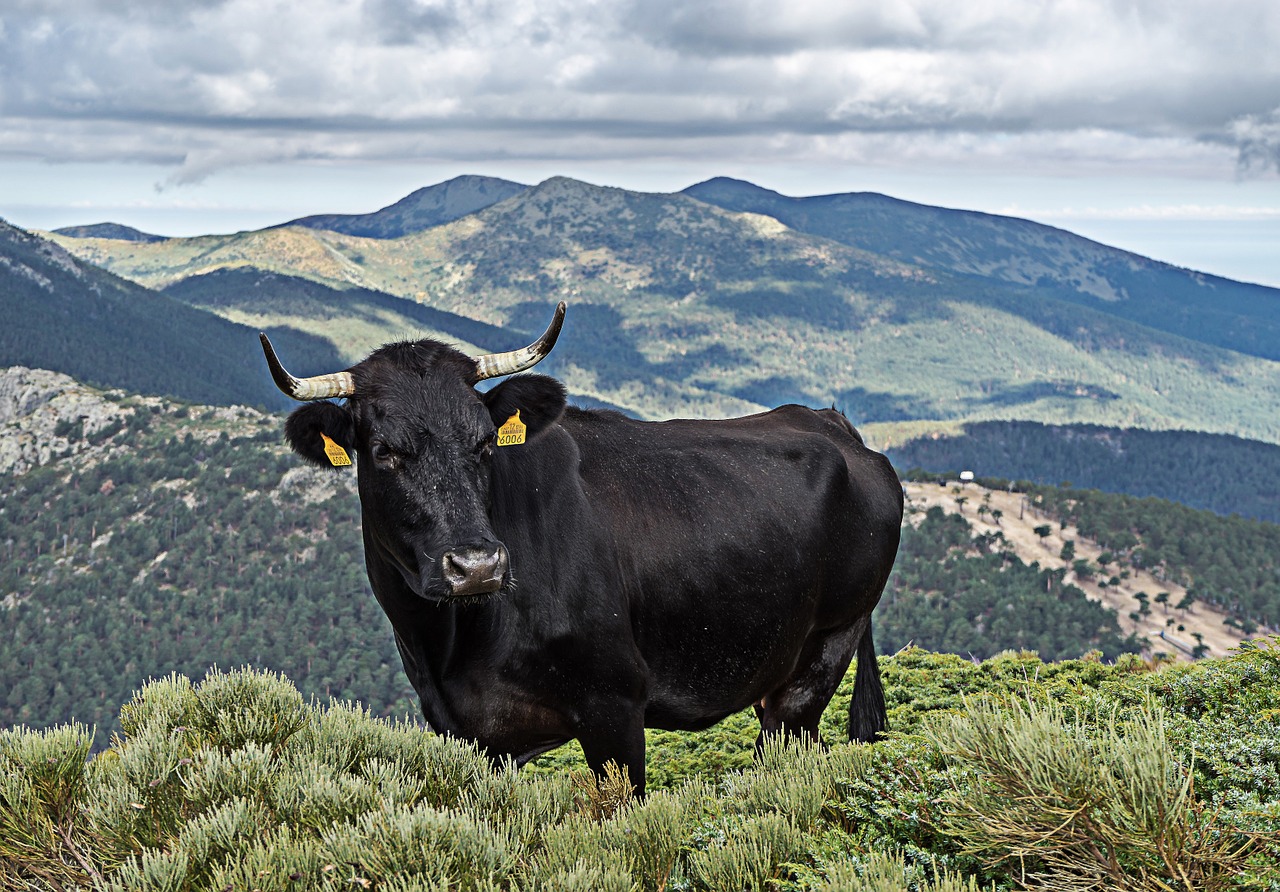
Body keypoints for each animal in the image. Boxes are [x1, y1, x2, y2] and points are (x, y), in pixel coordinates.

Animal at [262, 303, 901, 788]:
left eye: (484, 442)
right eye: (384, 451)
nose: (478, 566)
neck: (453, 645)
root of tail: (832, 422)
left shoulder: (614, 708)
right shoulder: (467, 731)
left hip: (826, 648)